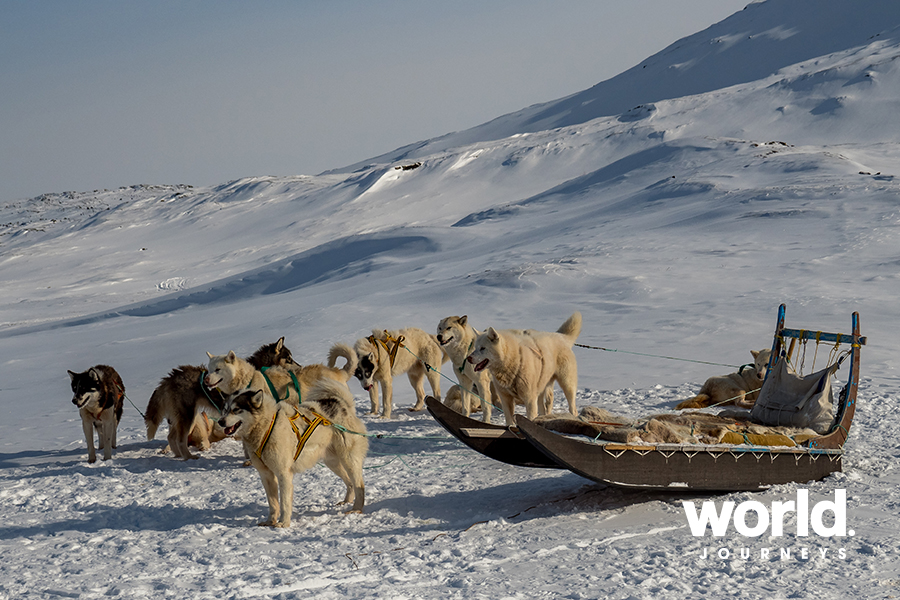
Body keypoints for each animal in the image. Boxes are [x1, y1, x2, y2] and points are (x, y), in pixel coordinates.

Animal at [219, 378, 370, 528]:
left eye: (236, 410)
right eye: (225, 410)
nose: (220, 421)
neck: (267, 426)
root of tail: (342, 405)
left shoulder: (283, 474)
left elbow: (284, 503)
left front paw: (283, 523)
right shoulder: (266, 475)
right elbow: (273, 504)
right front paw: (270, 522)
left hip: (349, 460)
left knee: (359, 485)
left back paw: (356, 509)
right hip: (333, 463)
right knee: (350, 483)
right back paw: (346, 501)